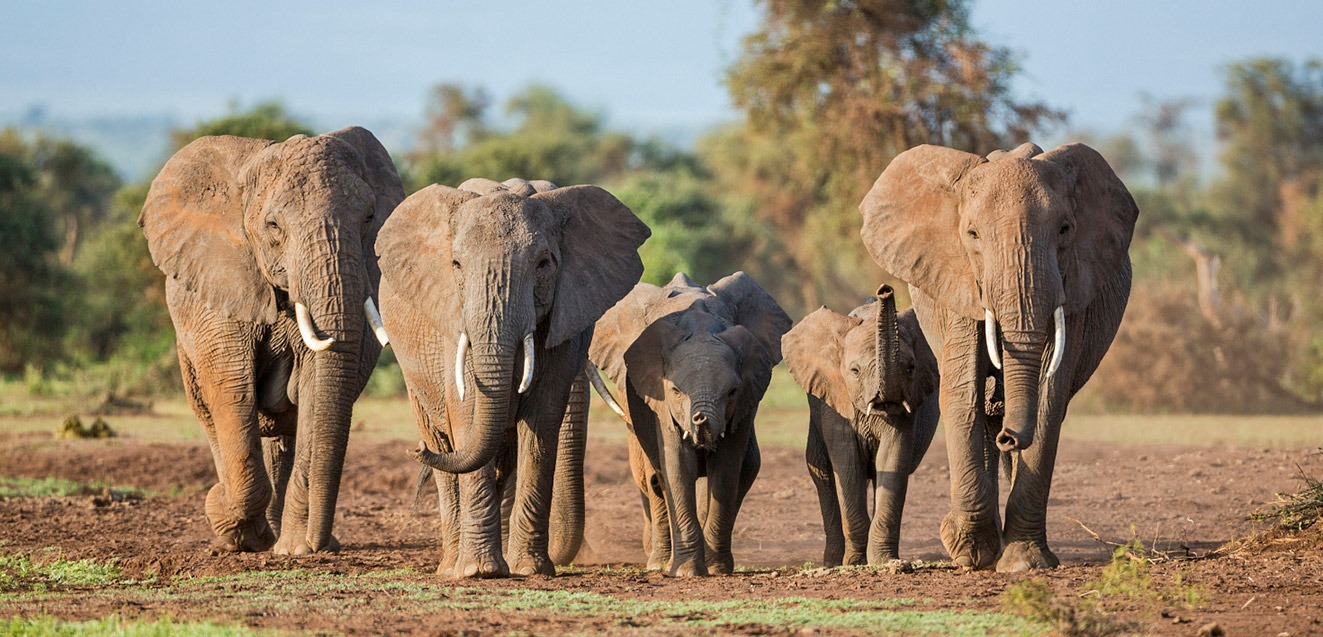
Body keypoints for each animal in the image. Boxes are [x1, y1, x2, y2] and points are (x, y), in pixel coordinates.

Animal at [140, 126, 402, 553]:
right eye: (274, 226)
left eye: (368, 218)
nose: (321, 545)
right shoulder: (220, 290)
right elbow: (232, 390)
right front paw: (229, 520)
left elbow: (315, 390)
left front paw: (296, 549)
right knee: (213, 417)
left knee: (285, 431)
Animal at [375, 174, 648, 577]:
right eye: (456, 264)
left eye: (544, 263)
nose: (416, 450)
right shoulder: (452, 320)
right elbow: (469, 411)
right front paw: (479, 572)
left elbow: (541, 422)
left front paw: (531, 570)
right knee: (446, 447)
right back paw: (451, 566)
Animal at [592, 270, 793, 574]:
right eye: (675, 391)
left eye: (732, 391)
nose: (699, 419)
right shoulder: (660, 403)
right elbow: (677, 463)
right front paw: (687, 572)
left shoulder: (746, 399)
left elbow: (726, 469)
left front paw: (717, 569)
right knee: (654, 476)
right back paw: (659, 564)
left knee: (745, 469)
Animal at [777, 286, 947, 564]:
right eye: (854, 371)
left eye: (911, 368)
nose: (885, 290)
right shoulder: (836, 402)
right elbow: (847, 464)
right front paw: (854, 562)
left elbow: (892, 459)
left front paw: (885, 562)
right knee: (823, 471)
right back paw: (833, 561)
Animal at [857, 143, 1137, 572]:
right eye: (972, 234)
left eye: (1065, 230)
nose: (1010, 437)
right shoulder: (956, 282)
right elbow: (962, 394)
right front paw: (967, 550)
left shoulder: (1074, 288)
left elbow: (1049, 399)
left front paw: (1023, 563)